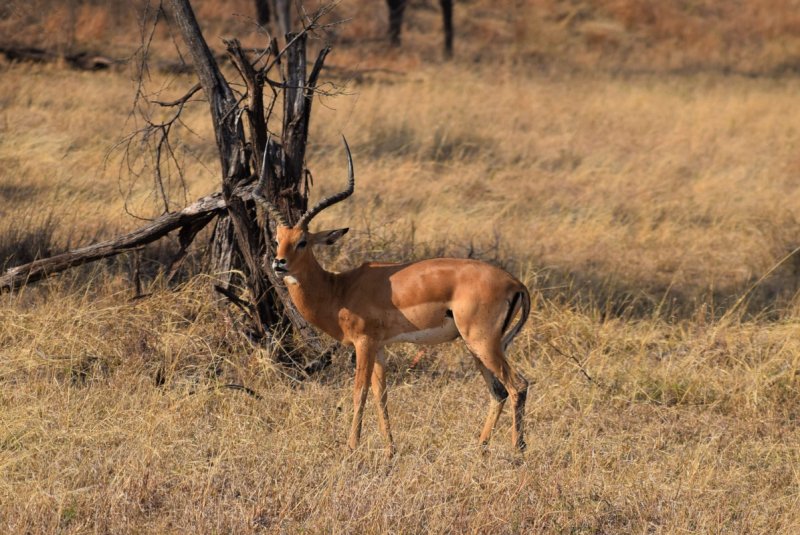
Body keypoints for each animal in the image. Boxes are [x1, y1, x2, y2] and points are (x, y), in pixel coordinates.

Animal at [255, 137, 530, 457]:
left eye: (303, 241)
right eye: (278, 240)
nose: (279, 263)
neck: (340, 289)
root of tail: (515, 283)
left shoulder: (363, 343)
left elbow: (359, 392)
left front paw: (351, 447)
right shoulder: (381, 347)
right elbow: (381, 394)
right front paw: (390, 449)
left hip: (483, 342)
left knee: (518, 385)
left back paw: (517, 450)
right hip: (477, 346)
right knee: (498, 391)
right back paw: (480, 447)